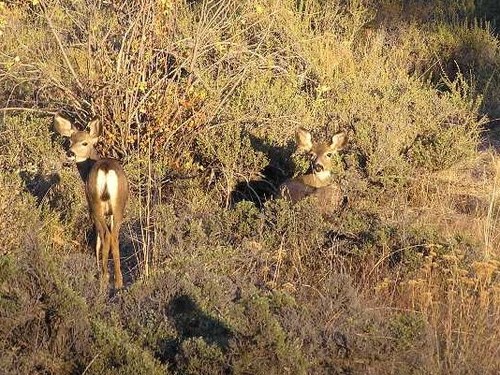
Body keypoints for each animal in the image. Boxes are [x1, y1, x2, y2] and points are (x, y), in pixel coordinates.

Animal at [53, 114, 129, 290]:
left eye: (84, 143)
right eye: (70, 140)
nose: (70, 152)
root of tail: (106, 169)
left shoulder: (91, 207)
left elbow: (98, 237)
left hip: (95, 203)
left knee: (105, 234)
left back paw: (104, 277)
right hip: (118, 205)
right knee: (114, 235)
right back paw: (118, 281)